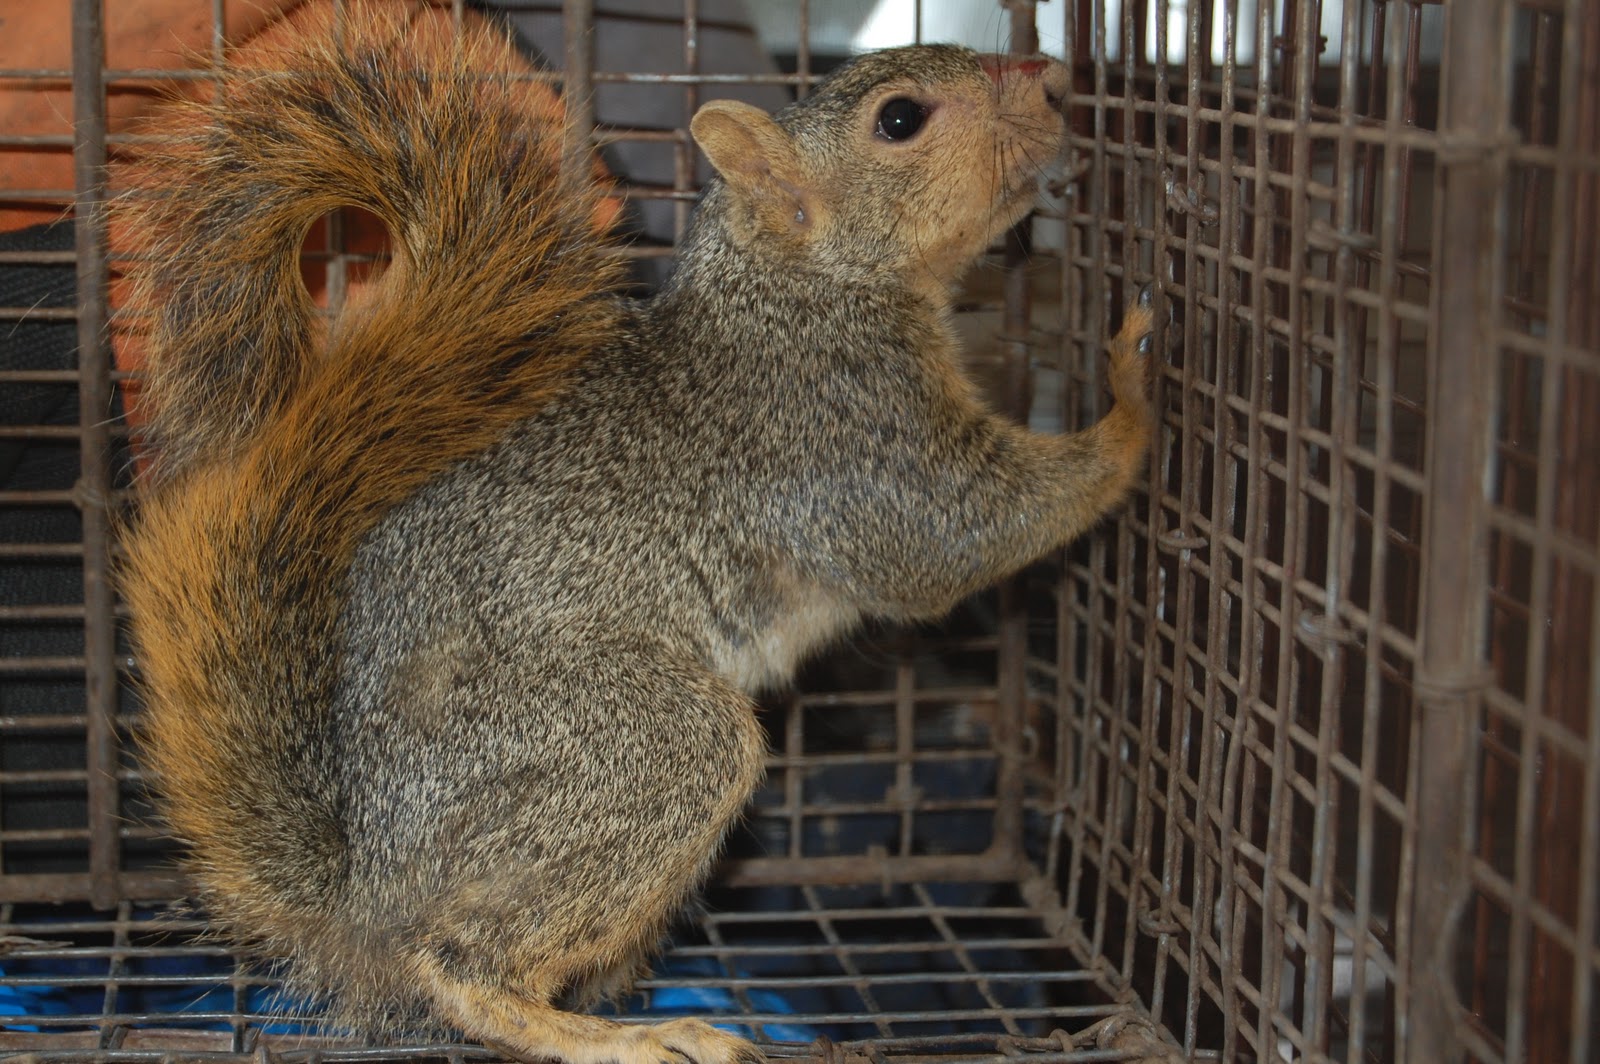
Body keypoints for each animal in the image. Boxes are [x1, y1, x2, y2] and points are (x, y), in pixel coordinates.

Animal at [117, 4, 1157, 1062]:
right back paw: (603, 1034)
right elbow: (952, 539)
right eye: (899, 119)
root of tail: (368, 889)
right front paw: (1131, 396)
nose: (1052, 77)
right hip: (621, 744)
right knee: (457, 960)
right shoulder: (846, 431)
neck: (795, 283)